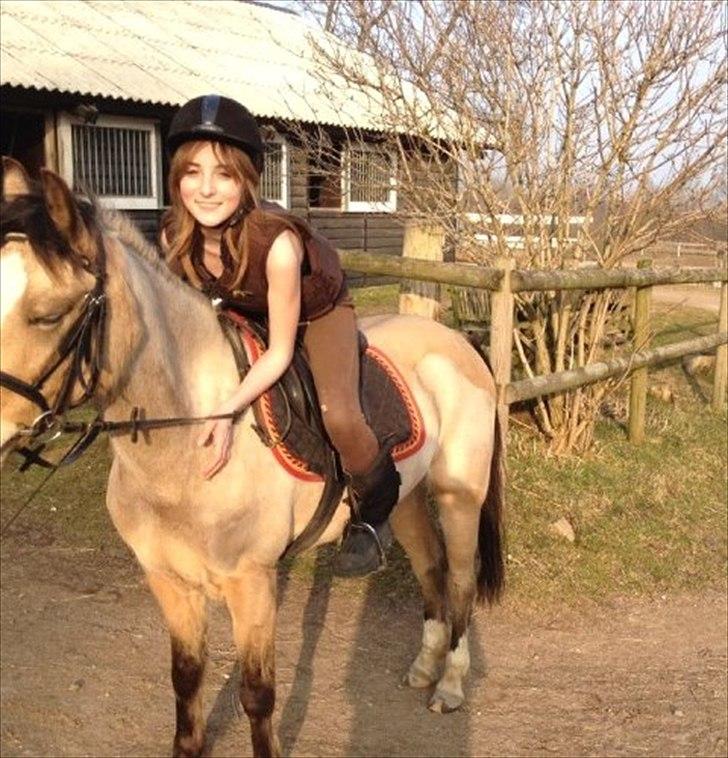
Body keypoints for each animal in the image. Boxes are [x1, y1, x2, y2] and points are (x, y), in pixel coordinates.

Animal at [0, 157, 505, 758]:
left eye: (48, 314)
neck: (183, 452)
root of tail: (459, 341)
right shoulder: (168, 581)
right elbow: (186, 680)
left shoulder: (253, 584)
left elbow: (257, 695)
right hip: (403, 499)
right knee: (429, 567)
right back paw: (425, 667)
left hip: (458, 496)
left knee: (459, 579)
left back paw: (449, 683)